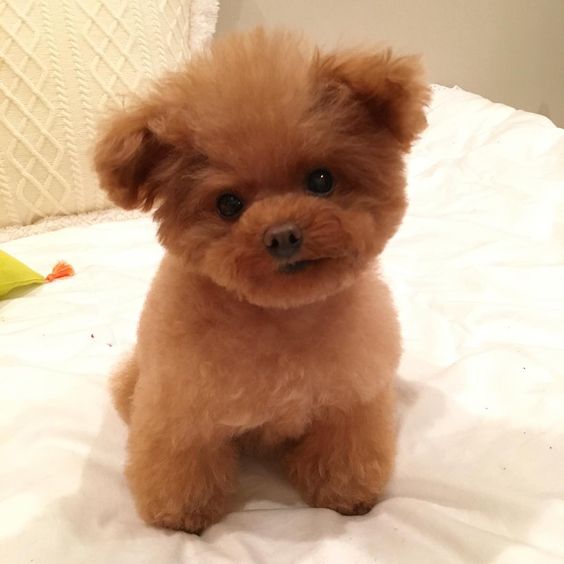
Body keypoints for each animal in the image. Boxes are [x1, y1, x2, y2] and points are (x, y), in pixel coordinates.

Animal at [93, 27, 428, 532]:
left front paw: (347, 496)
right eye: (228, 204)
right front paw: (181, 517)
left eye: (321, 180)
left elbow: (346, 453)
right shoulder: (180, 408)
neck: (280, 319)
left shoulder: (351, 402)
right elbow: (179, 464)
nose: (282, 234)